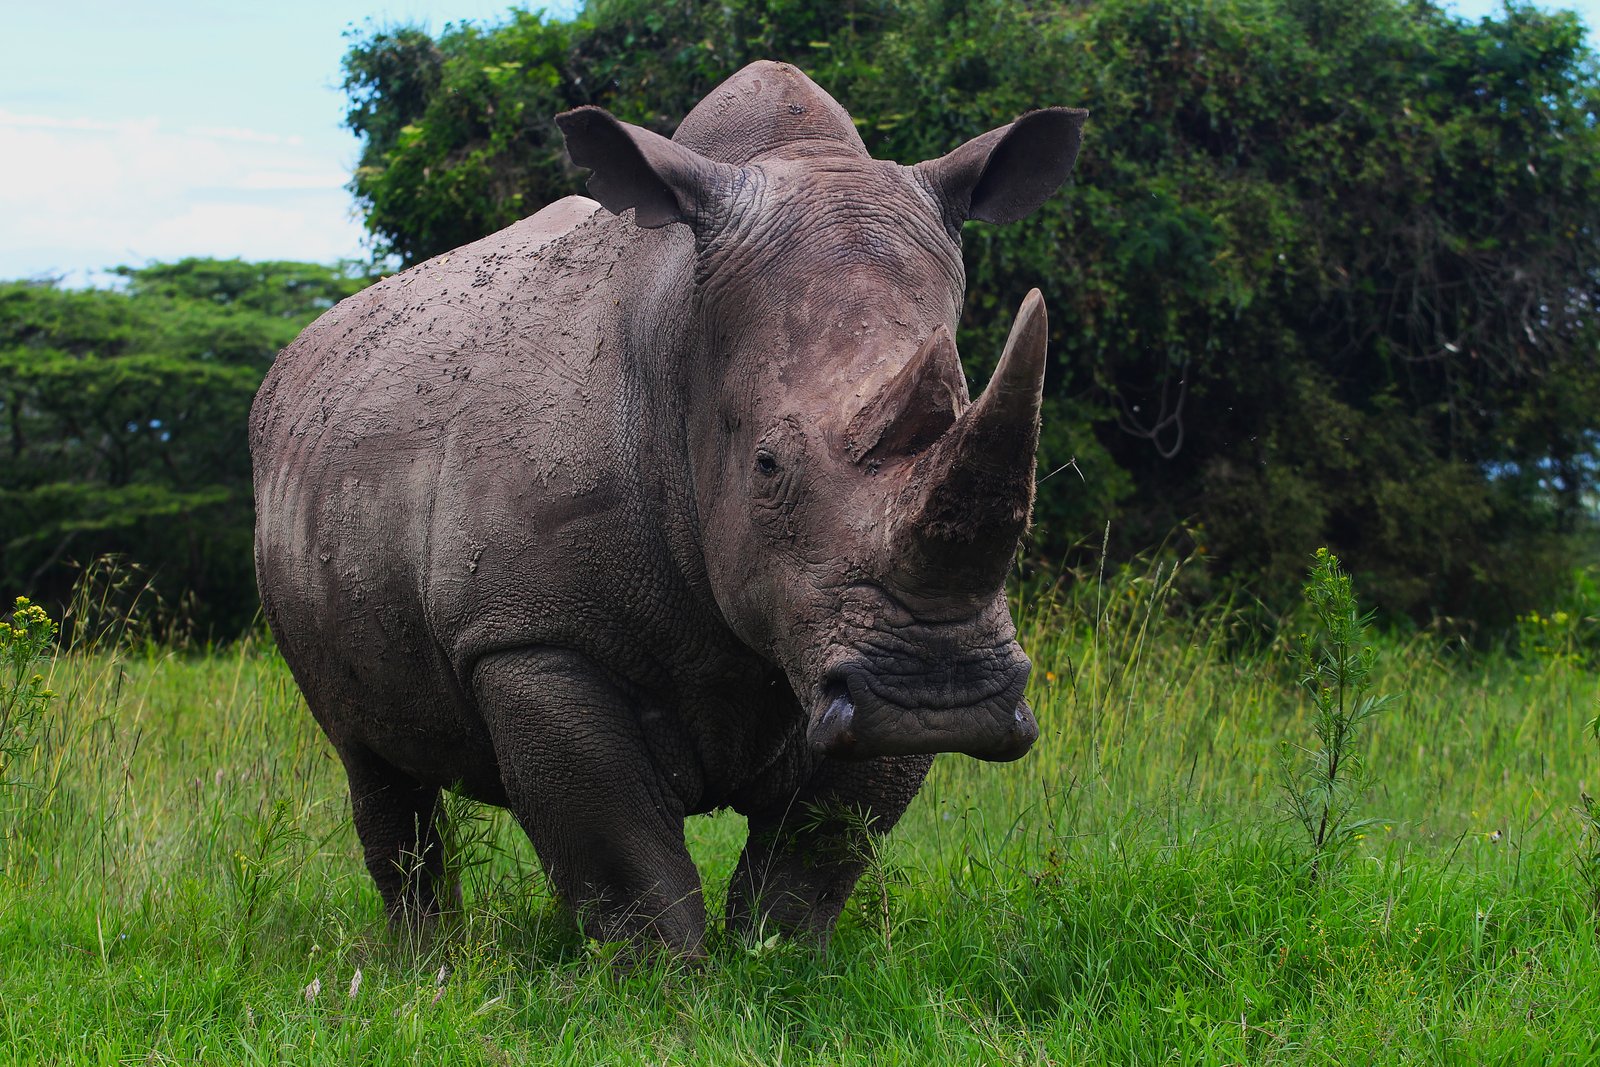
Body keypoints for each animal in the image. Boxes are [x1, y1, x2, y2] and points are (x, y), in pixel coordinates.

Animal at [251, 61, 1086, 954]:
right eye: (766, 466)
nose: (941, 695)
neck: (679, 341)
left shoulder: (845, 654)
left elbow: (817, 853)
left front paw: (778, 961)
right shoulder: (530, 632)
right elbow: (623, 853)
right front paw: (666, 981)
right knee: (371, 762)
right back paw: (428, 960)